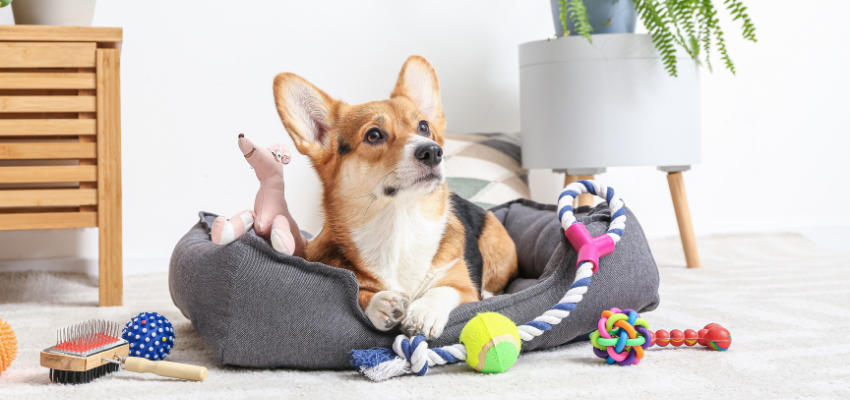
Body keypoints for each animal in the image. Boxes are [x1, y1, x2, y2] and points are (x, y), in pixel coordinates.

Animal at [272, 55, 516, 338]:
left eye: (424, 127)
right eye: (374, 135)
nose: (433, 152)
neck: (400, 225)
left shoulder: (464, 290)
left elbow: (442, 290)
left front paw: (424, 313)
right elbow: (359, 293)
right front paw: (381, 304)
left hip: (496, 244)